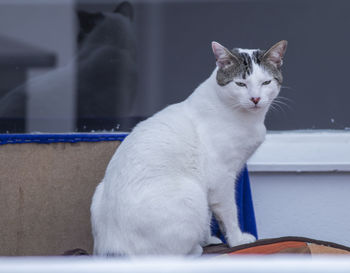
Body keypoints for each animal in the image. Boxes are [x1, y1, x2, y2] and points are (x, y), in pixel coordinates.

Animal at [90, 40, 288, 255]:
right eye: (240, 84)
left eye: (266, 83)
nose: (255, 99)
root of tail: (114, 247)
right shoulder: (222, 178)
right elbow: (229, 214)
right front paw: (237, 240)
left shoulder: (211, 184)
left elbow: (209, 214)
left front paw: (208, 238)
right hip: (191, 194)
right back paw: (196, 249)